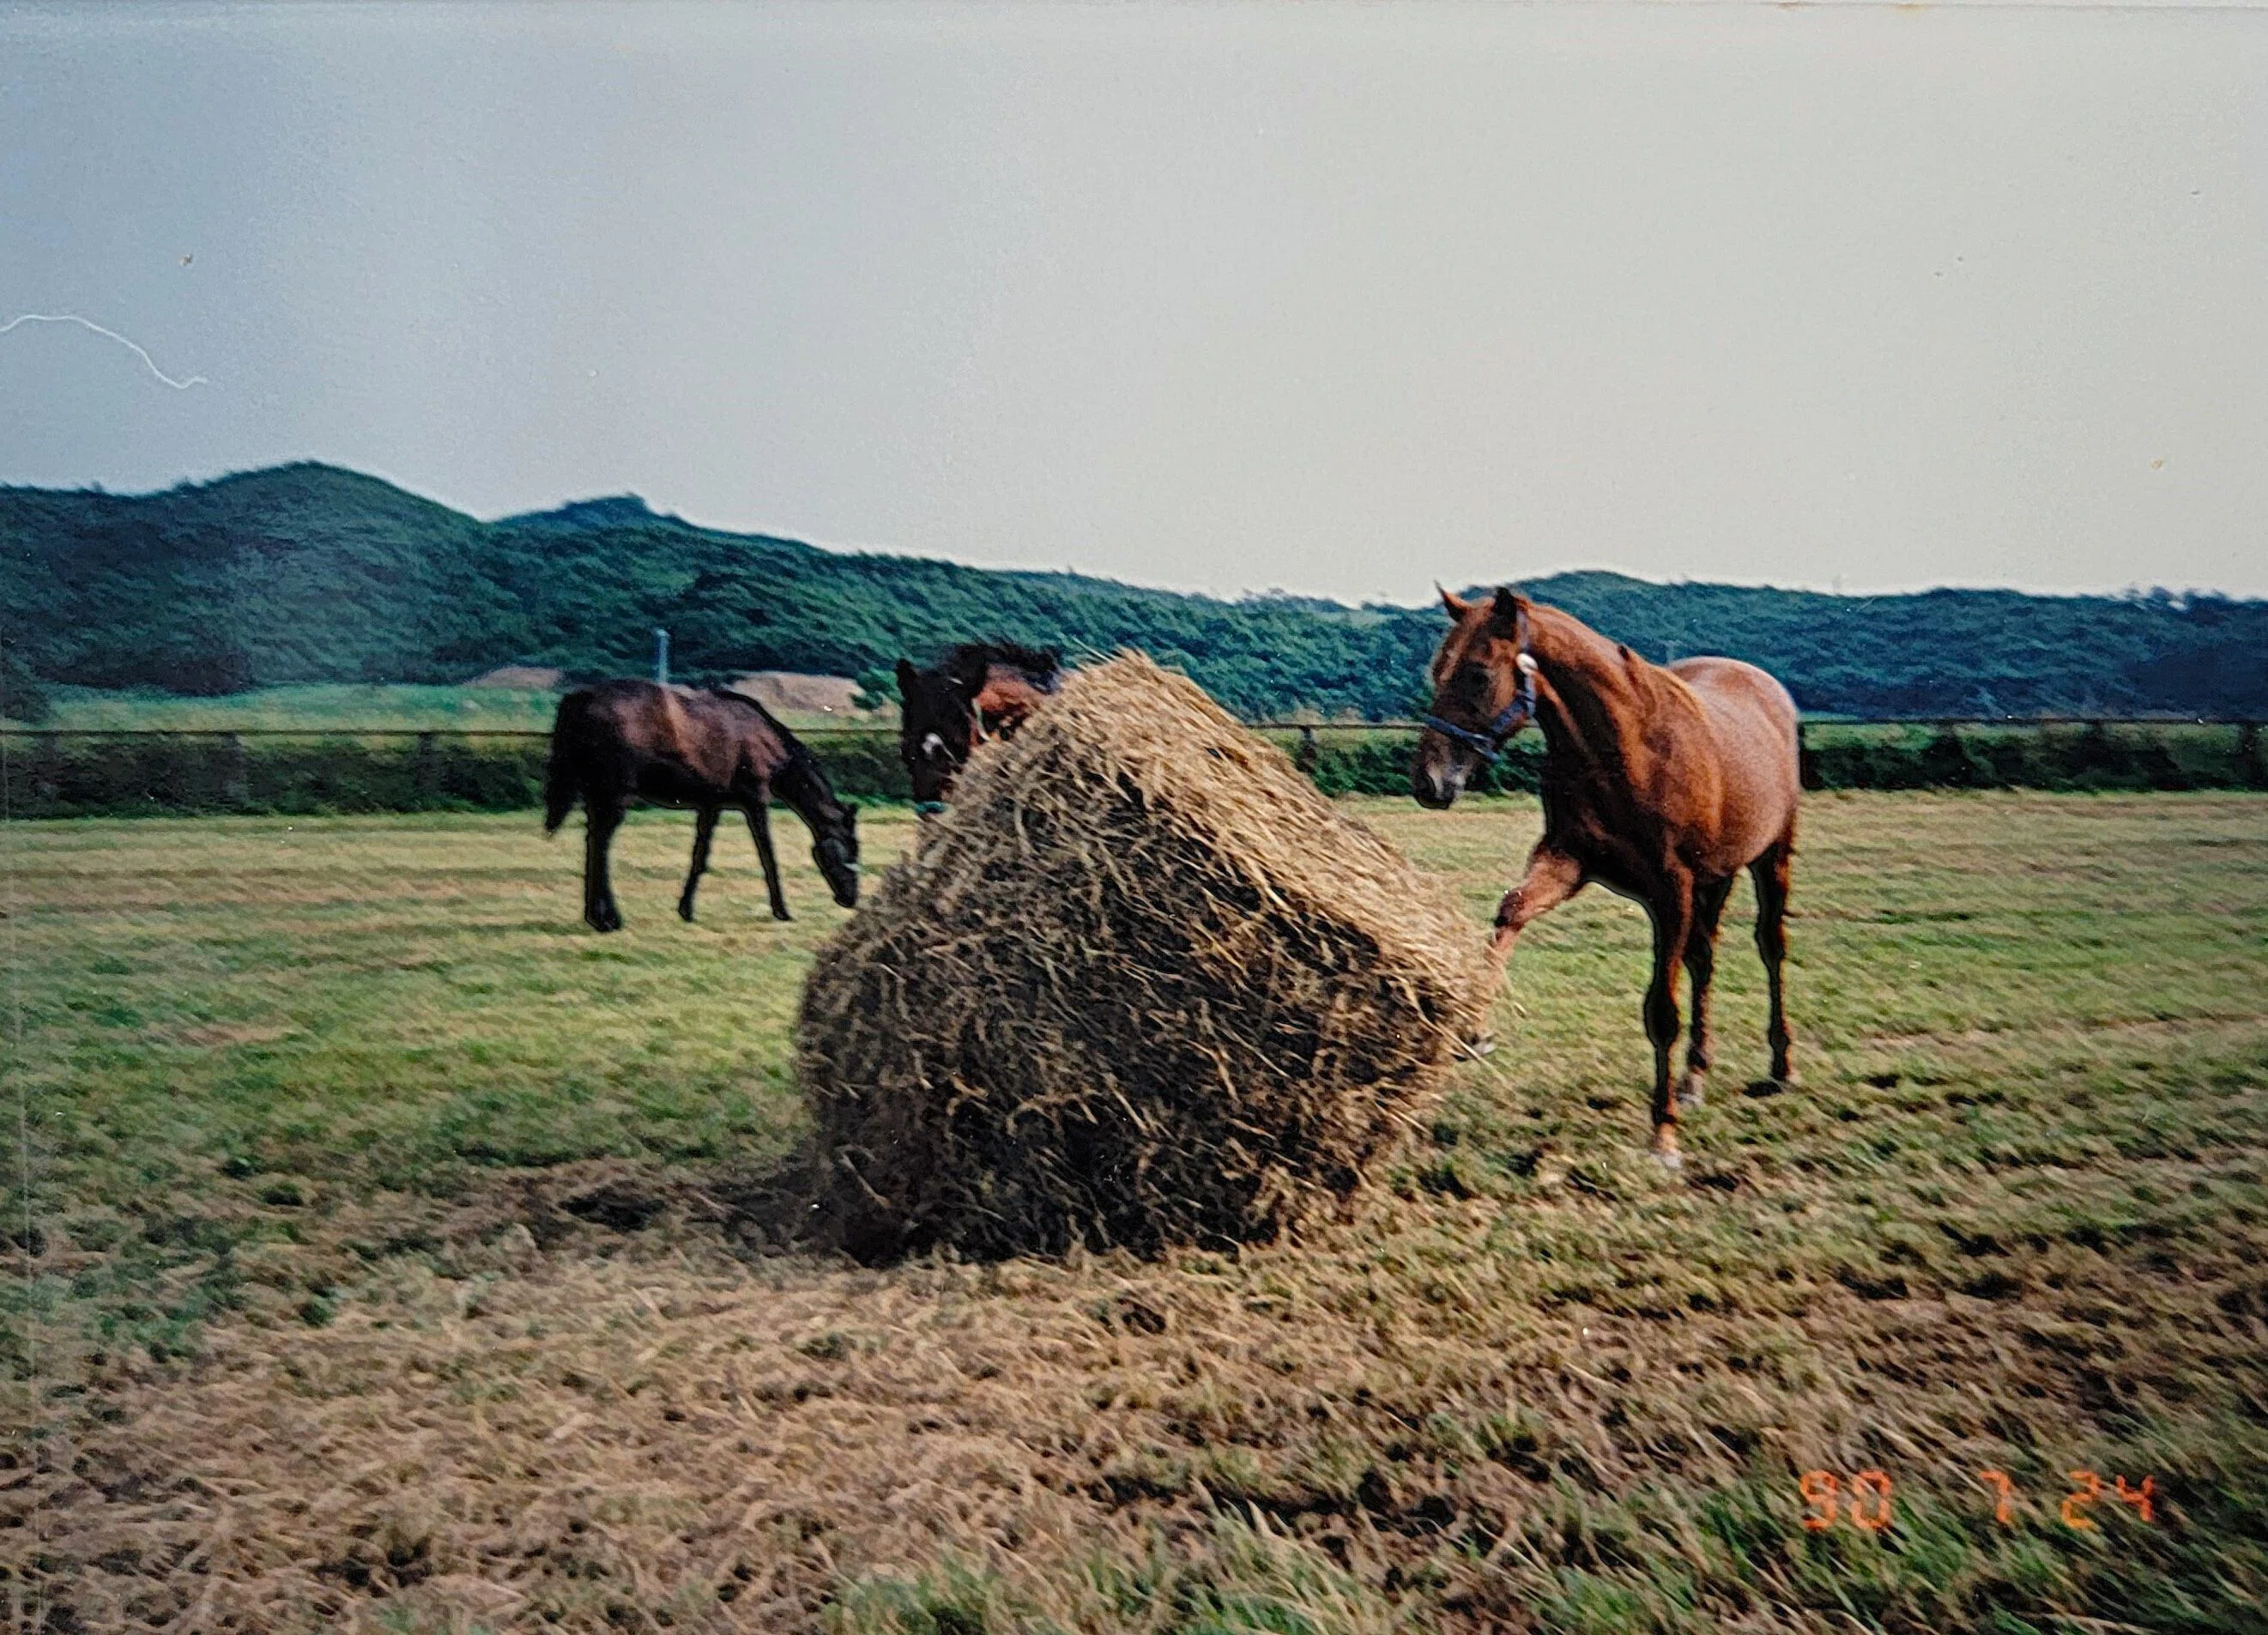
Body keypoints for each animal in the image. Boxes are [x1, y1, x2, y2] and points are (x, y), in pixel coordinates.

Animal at [543, 679, 859, 932]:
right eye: (851, 848)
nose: (851, 898)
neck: (765, 737)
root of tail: (580, 698)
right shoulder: (756, 801)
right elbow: (768, 856)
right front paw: (782, 910)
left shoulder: (711, 805)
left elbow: (700, 856)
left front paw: (686, 909)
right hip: (615, 796)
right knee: (601, 845)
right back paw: (607, 919)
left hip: (598, 795)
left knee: (593, 843)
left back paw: (595, 916)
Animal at [1412, 588, 1800, 1166]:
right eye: (1438, 671)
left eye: (1478, 674)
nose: (1428, 782)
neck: (1624, 748)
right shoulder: (1566, 861)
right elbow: (1511, 910)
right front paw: (1473, 1029)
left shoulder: (1672, 891)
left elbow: (1662, 1011)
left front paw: (1663, 1135)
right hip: (1715, 879)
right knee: (1705, 961)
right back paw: (1694, 1078)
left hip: (1771, 858)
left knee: (1771, 948)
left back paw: (1781, 1067)